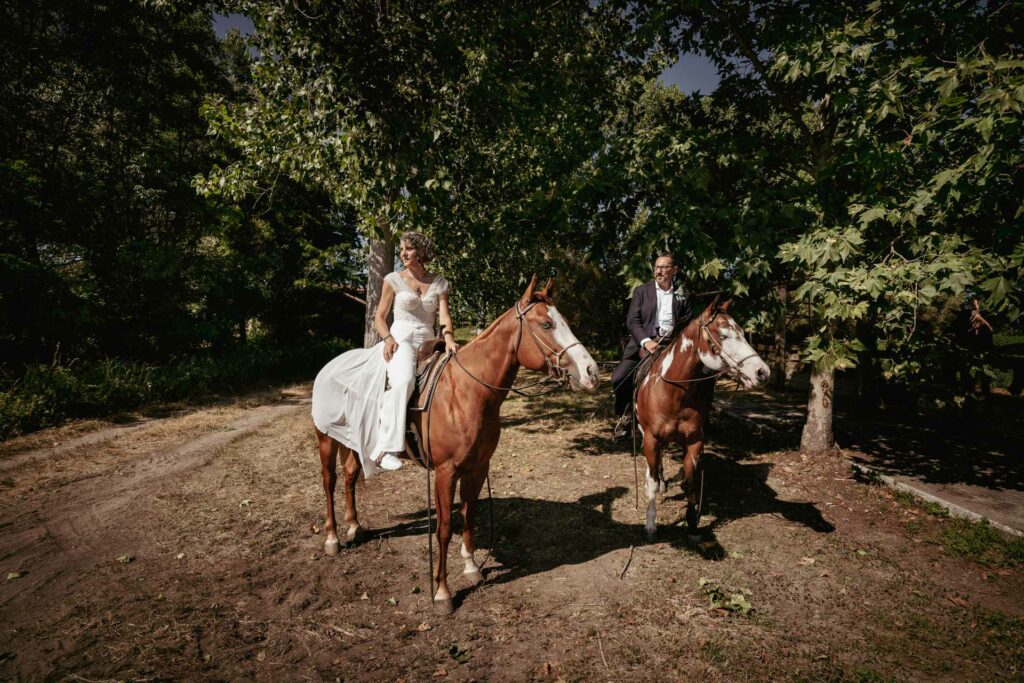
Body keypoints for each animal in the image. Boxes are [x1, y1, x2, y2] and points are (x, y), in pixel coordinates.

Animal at [313, 276, 598, 614]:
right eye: (546, 324)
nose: (591, 372)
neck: (467, 391)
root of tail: (330, 365)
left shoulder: (477, 468)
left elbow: (469, 516)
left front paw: (472, 566)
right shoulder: (445, 472)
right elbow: (446, 527)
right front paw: (442, 592)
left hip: (354, 442)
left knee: (349, 476)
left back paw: (354, 527)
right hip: (326, 439)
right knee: (329, 482)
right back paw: (332, 539)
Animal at [634, 299, 770, 544]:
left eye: (742, 333)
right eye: (724, 335)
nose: (762, 372)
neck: (674, 393)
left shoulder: (694, 441)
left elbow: (690, 482)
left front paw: (692, 524)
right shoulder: (651, 439)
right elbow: (651, 483)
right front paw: (650, 526)